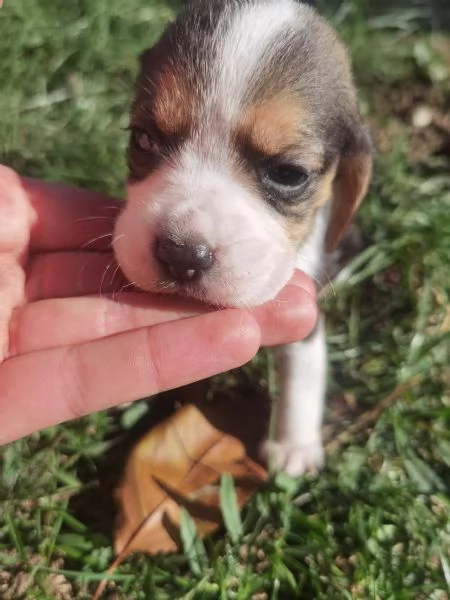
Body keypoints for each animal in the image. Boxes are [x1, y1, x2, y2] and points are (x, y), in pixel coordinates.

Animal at [113, 1, 372, 478]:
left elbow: (303, 372)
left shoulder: (304, 313)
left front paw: (293, 446)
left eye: (288, 173)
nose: (182, 255)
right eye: (142, 139)